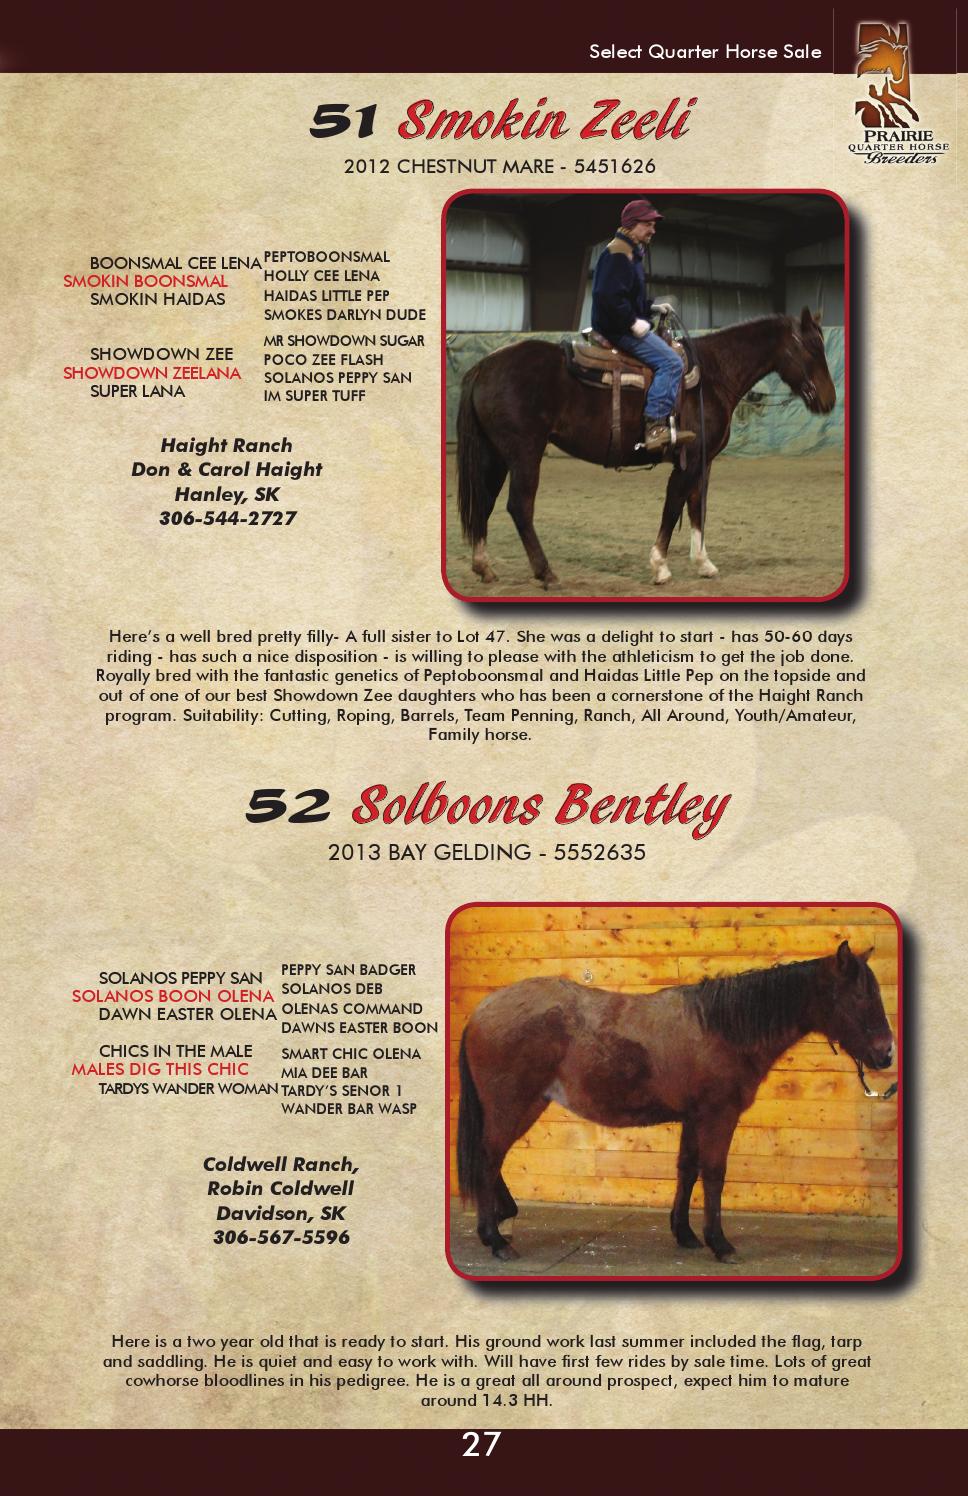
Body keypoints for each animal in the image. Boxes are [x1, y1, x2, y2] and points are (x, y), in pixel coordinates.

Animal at [456, 308, 836, 590]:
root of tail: (485, 364)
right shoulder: (688, 461)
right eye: (812, 349)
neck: (711, 376)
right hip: (524, 453)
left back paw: (484, 567)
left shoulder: (704, 462)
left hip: (495, 455)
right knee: (519, 507)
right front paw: (660, 567)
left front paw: (704, 563)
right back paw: (546, 573)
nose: (830, 400)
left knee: (485, 503)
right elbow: (673, 506)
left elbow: (697, 507)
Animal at [457, 942, 893, 1264]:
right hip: (513, 1105)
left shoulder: (694, 1117)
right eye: (859, 996)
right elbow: (714, 1172)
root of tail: (481, 1012)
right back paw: (495, 1238)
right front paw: (720, 1243)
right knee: (489, 1157)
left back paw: (503, 1219)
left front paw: (684, 1233)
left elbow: (687, 1168)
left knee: (490, 1157)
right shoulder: (718, 1115)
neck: (723, 1028)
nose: (886, 1053)